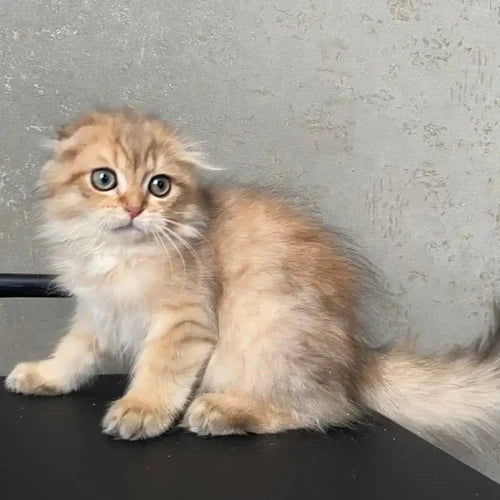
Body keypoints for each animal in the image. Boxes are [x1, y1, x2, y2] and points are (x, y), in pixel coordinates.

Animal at [3, 109, 500, 442]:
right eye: (104, 179)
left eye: (159, 186)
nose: (134, 209)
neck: (121, 256)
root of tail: (357, 360)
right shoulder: (97, 313)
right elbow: (73, 354)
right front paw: (45, 376)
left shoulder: (185, 323)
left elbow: (159, 372)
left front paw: (141, 410)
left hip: (266, 331)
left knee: (324, 410)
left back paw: (222, 411)